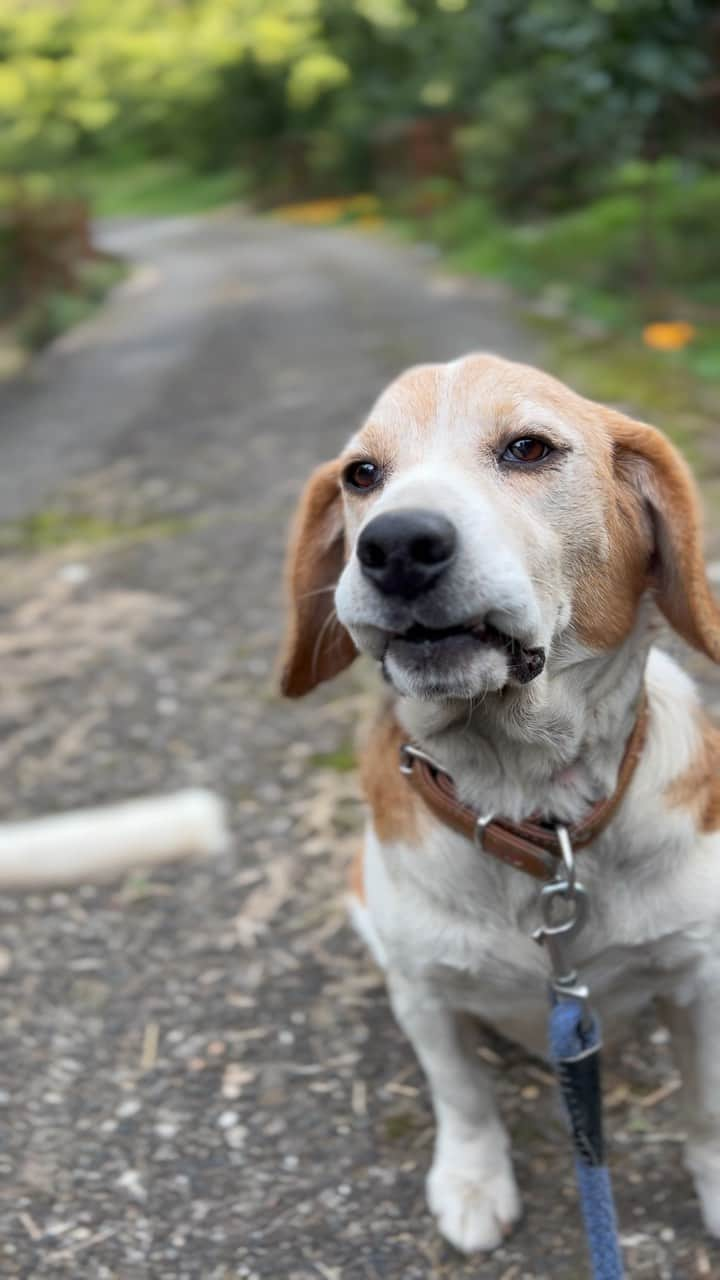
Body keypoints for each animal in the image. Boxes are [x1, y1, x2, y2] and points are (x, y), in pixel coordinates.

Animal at [278, 355, 717, 1254]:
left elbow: (706, 1107)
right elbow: (464, 1096)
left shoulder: (698, 980)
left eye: (528, 448)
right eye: (361, 474)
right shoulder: (425, 996)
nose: (395, 545)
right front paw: (474, 1180)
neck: (533, 811)